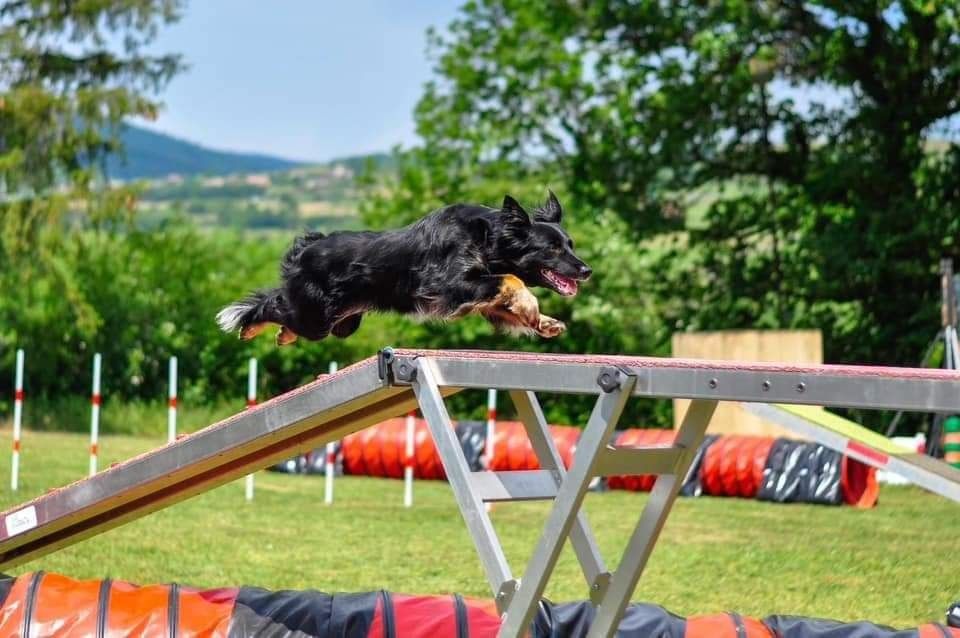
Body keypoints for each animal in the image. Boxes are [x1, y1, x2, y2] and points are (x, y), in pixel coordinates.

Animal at [218, 192, 592, 348]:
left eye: (571, 244)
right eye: (552, 249)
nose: (586, 270)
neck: (488, 237)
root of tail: (309, 246)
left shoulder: (480, 297)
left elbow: (509, 300)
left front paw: (544, 321)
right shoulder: (449, 284)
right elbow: (512, 279)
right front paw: (534, 308)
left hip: (342, 323)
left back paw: (282, 335)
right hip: (315, 317)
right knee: (272, 304)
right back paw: (246, 324)